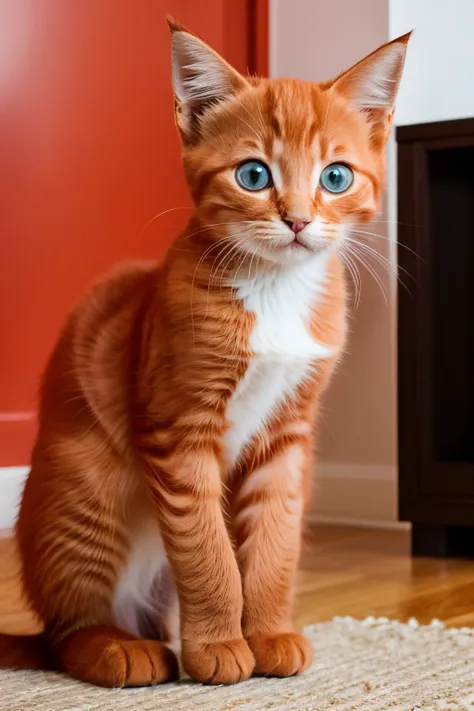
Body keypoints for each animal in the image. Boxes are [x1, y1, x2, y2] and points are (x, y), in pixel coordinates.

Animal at [0, 16, 408, 688]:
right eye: (254, 176)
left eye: (336, 177)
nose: (298, 221)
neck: (274, 290)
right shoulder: (177, 428)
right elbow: (205, 547)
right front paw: (219, 643)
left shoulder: (287, 437)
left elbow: (272, 541)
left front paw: (267, 633)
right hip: (84, 483)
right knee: (67, 630)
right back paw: (116, 648)